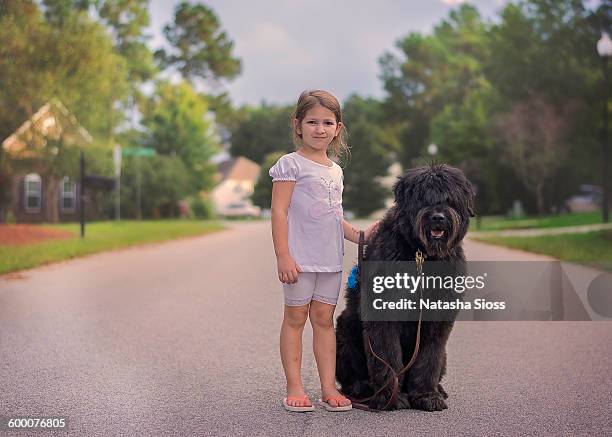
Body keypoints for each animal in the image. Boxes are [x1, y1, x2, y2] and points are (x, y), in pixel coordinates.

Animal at [334, 165, 474, 410]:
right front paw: (390, 397)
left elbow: (429, 359)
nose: (438, 217)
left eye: (449, 199)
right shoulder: (384, 314)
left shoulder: (437, 319)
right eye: (423, 198)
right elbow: (387, 356)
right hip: (345, 331)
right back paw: (362, 388)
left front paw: (427, 395)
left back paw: (438, 389)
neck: (422, 256)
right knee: (351, 375)